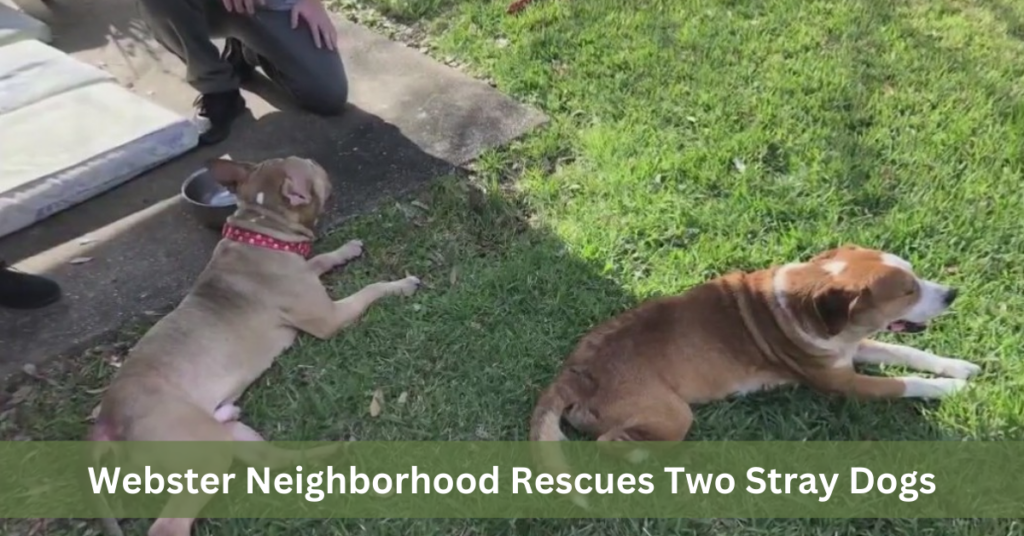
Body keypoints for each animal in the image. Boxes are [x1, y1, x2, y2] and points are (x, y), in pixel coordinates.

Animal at [90, 155, 421, 536]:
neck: (261, 233)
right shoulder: (329, 319)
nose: (315, 159)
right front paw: (399, 285)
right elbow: (368, 291)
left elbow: (320, 259)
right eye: (311, 168)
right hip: (204, 452)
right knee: (169, 525)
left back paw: (328, 453)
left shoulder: (306, 271)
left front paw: (346, 250)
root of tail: (106, 421)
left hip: (229, 435)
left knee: (273, 463)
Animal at [532, 244, 978, 450]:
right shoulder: (844, 383)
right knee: (610, 446)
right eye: (906, 291)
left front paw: (960, 367)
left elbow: (909, 354)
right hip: (672, 415)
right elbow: (903, 383)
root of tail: (573, 373)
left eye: (914, 277)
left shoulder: (849, 350)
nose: (953, 293)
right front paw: (953, 390)